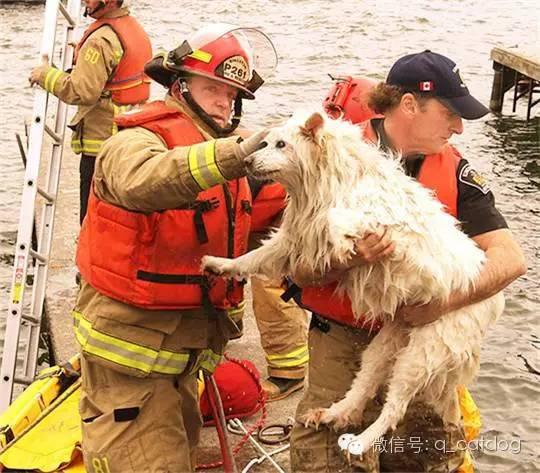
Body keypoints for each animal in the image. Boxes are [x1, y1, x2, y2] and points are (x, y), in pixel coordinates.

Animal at [200, 110, 504, 458]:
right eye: (264, 142)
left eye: (282, 145)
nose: (248, 161)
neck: (326, 179)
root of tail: (491, 303)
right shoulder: (296, 237)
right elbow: (254, 256)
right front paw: (221, 264)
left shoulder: (384, 223)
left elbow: (339, 219)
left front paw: (343, 240)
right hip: (388, 339)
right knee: (364, 384)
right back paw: (333, 414)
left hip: (424, 351)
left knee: (394, 407)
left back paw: (363, 440)